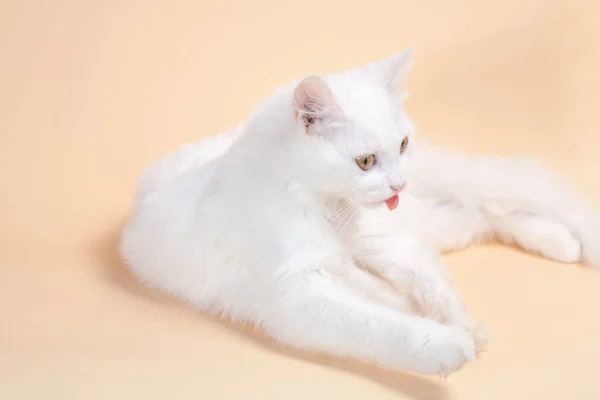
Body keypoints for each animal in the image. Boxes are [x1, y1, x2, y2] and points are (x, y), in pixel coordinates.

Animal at [120, 49, 600, 376]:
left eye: (402, 144)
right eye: (366, 161)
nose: (398, 185)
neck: (321, 204)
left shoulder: (352, 262)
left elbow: (430, 292)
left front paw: (461, 328)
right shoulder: (301, 292)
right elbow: (383, 316)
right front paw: (449, 342)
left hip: (406, 224)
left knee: (493, 205)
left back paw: (571, 243)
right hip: (414, 229)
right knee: (481, 216)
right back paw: (561, 244)